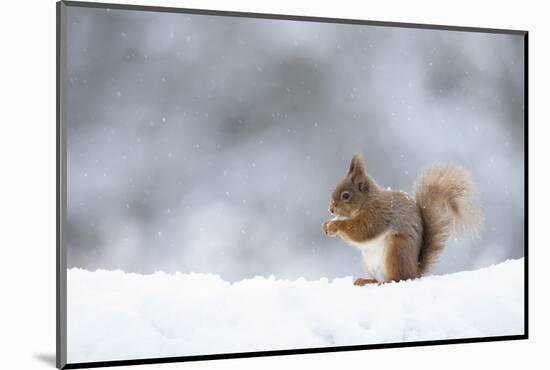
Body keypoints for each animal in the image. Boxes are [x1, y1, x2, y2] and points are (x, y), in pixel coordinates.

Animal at [324, 155, 484, 284]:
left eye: (346, 195)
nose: (331, 209)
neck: (367, 201)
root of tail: (414, 271)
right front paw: (326, 225)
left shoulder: (378, 214)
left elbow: (363, 230)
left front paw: (335, 225)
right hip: (369, 262)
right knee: (378, 278)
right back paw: (366, 280)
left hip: (397, 250)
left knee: (398, 278)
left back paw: (386, 282)